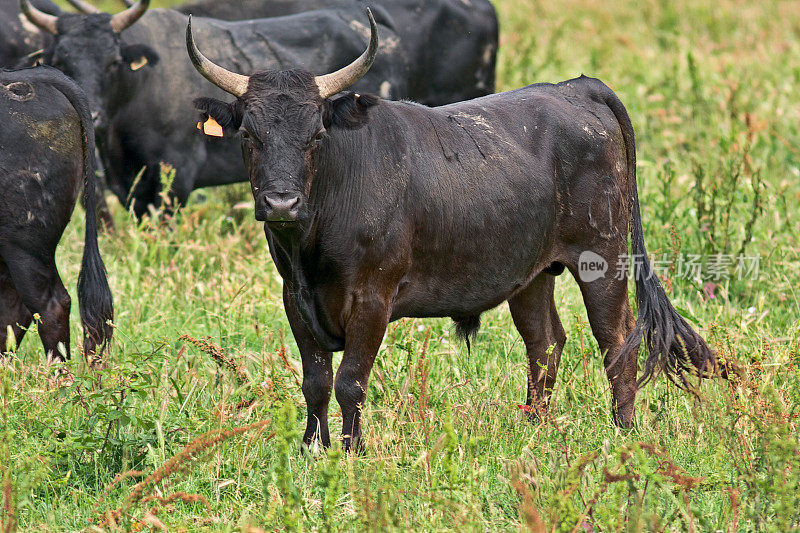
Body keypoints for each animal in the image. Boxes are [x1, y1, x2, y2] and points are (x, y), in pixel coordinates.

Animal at [188, 11, 720, 448]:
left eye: (316, 134)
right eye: (248, 134)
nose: (281, 202)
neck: (311, 248)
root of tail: (574, 87)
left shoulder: (372, 300)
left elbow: (349, 381)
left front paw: (353, 452)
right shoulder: (295, 299)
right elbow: (315, 383)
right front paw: (311, 449)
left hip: (603, 259)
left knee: (617, 341)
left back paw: (625, 432)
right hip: (531, 272)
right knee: (545, 343)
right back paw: (535, 428)